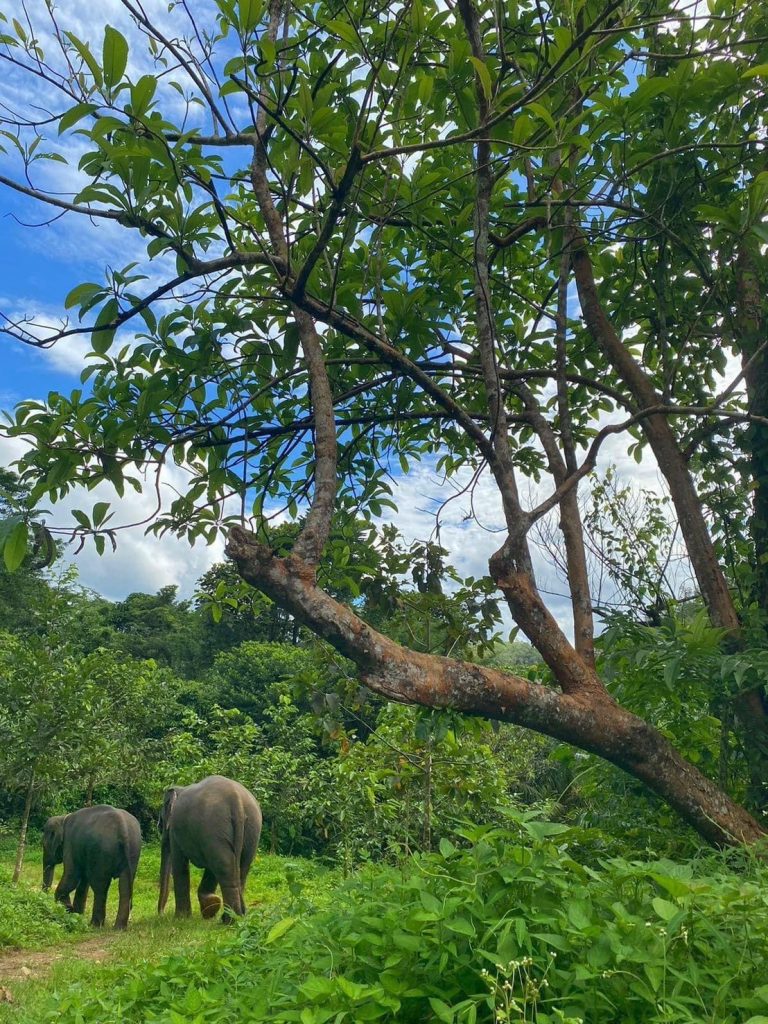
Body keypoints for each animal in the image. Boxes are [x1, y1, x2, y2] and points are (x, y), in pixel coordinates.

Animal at [157, 775, 262, 921]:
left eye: (161, 823)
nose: (161, 914)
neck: (180, 788)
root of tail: (237, 801)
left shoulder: (175, 830)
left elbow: (179, 864)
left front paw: (181, 918)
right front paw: (210, 907)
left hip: (214, 826)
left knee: (224, 867)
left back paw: (229, 920)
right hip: (251, 829)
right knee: (240, 867)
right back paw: (238, 916)